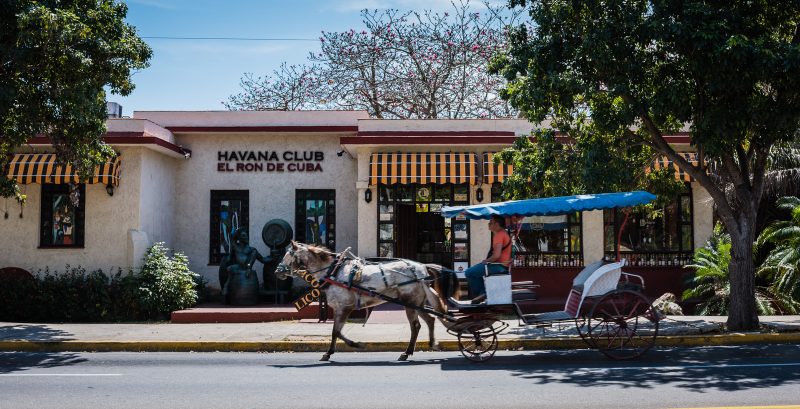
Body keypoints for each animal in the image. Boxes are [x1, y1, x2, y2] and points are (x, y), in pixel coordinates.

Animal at [274, 241, 454, 358]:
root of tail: (422, 268)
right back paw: (430, 343)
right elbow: (336, 331)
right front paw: (331, 351)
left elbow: (336, 331)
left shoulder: (344, 307)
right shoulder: (340, 308)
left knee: (416, 326)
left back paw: (408, 351)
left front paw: (353, 345)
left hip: (410, 303)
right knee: (430, 320)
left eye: (288, 255)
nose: (277, 272)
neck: (334, 271)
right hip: (417, 303)